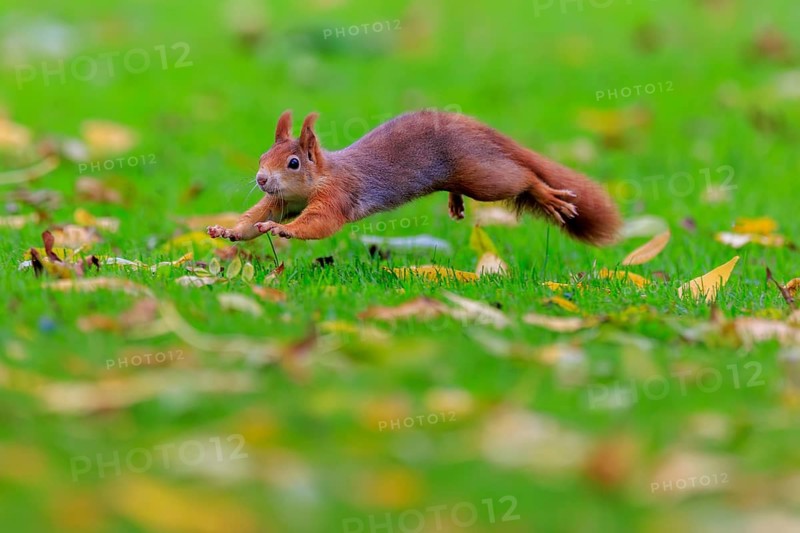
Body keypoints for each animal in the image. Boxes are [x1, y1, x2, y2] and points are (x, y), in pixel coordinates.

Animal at [207, 110, 621, 245]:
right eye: (263, 157)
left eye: (293, 163)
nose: (261, 179)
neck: (319, 177)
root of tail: (471, 127)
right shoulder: (282, 200)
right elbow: (255, 218)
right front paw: (226, 230)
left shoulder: (337, 194)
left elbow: (320, 223)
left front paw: (284, 231)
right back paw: (455, 202)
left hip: (482, 174)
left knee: (521, 177)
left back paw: (546, 193)